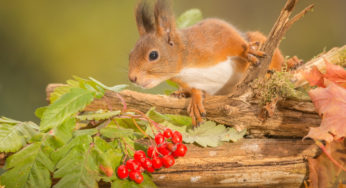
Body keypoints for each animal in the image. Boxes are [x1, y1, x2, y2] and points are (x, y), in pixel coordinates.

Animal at [128, 0, 286, 126]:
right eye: (130, 55)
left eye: (153, 55)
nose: (132, 78)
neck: (185, 66)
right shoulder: (194, 82)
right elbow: (196, 90)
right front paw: (196, 100)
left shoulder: (215, 34)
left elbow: (235, 42)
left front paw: (247, 52)